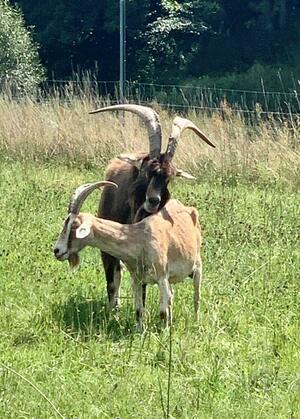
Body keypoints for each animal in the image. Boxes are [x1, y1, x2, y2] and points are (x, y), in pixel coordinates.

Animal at [54, 180, 204, 332]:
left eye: (74, 226)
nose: (57, 250)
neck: (140, 237)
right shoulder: (137, 279)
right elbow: (139, 310)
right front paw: (139, 332)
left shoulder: (161, 277)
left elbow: (163, 313)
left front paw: (165, 333)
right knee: (171, 297)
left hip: (197, 266)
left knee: (196, 297)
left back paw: (196, 323)